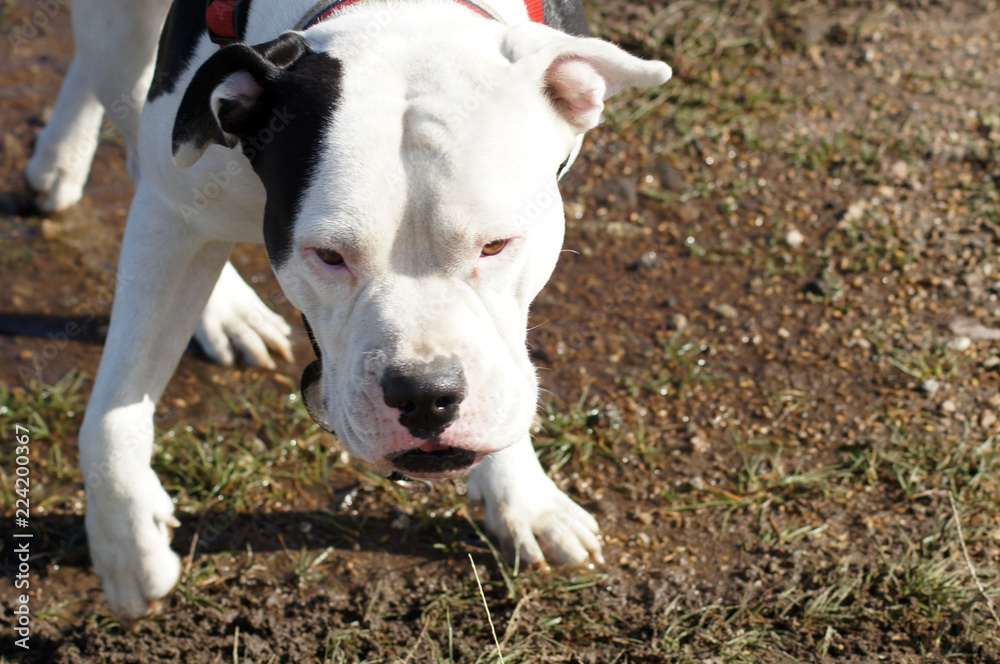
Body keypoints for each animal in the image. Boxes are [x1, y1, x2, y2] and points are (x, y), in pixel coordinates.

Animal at [23, 0, 668, 616]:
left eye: (496, 245)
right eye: (329, 256)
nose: (424, 395)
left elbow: (506, 374)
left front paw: (523, 499)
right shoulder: (171, 209)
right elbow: (114, 405)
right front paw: (125, 540)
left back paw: (61, 160)